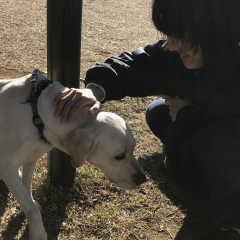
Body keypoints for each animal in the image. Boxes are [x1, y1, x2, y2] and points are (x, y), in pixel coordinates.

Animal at [0, 70, 146, 240]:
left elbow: (27, 187)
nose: (142, 179)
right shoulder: (7, 168)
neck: (36, 114)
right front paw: (38, 233)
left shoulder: (31, 158)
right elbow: (32, 210)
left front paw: (30, 204)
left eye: (133, 149)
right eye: (120, 156)